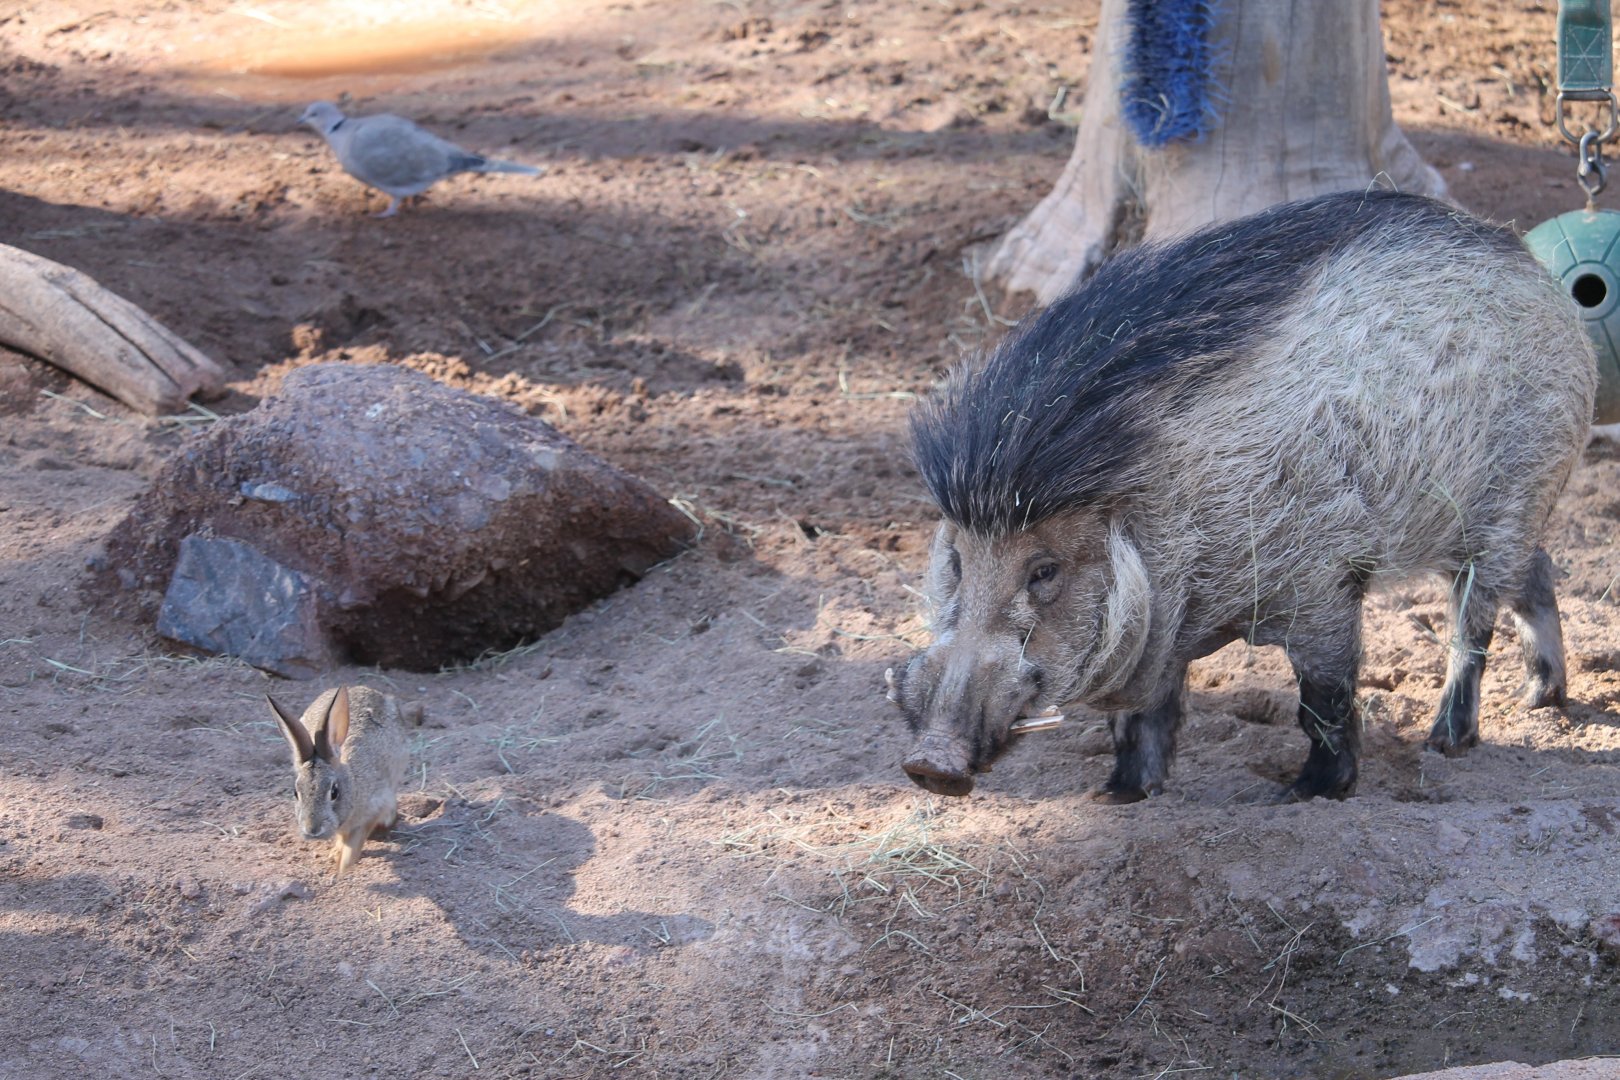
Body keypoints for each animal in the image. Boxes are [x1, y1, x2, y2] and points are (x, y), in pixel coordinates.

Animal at [892, 189, 1596, 802]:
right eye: (957, 562)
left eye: (1044, 570)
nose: (930, 765)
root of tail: (1538, 275)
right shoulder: (1161, 635)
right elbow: (1142, 722)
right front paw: (1119, 796)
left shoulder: (1322, 587)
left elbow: (1324, 701)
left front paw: (1305, 795)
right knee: (1537, 572)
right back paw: (1540, 699)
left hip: (1506, 504)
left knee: (1472, 622)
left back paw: (1446, 741)